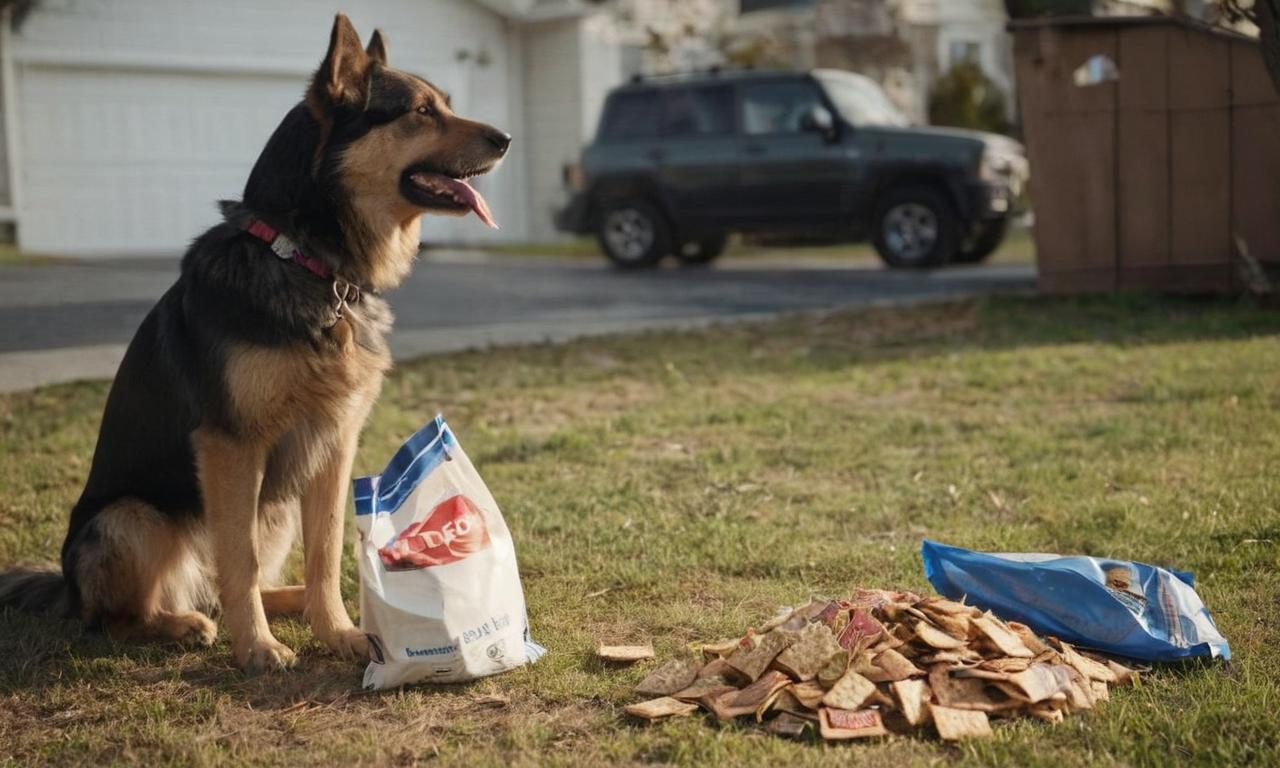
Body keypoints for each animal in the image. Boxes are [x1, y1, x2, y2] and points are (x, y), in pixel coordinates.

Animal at [0, 13, 509, 670]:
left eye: (444, 104)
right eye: (421, 111)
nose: (506, 139)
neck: (309, 263)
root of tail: (67, 586)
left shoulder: (333, 448)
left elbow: (324, 553)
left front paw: (337, 629)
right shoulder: (232, 447)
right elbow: (236, 560)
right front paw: (258, 648)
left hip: (277, 507)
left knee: (235, 583)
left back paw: (296, 603)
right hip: (132, 519)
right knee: (127, 615)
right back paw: (181, 624)